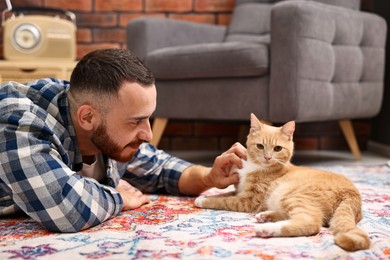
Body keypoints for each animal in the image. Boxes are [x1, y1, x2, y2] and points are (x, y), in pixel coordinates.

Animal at [197, 112, 370, 251]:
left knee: (311, 223)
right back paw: (266, 216)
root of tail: (352, 192)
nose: (267, 157)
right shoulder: (240, 191)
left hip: (292, 194)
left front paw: (202, 200)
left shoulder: (248, 200)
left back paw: (266, 229)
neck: (257, 166)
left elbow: (224, 201)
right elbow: (223, 194)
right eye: (260, 146)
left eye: (278, 149)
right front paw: (206, 196)